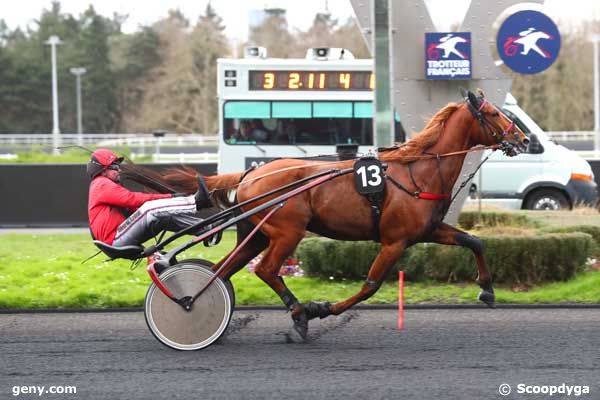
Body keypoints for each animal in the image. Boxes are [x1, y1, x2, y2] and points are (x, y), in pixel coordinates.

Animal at [124, 90, 528, 338]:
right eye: (494, 113)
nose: (523, 140)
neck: (419, 170)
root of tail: (251, 173)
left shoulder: (428, 230)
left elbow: (474, 241)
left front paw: (487, 290)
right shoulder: (395, 240)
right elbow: (370, 285)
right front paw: (323, 308)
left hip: (257, 234)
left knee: (224, 269)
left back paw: (199, 306)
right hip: (288, 231)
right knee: (265, 270)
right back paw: (297, 313)